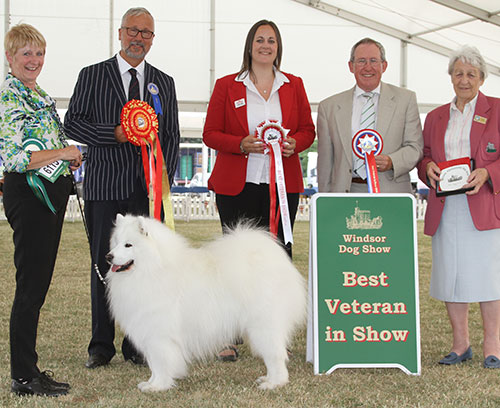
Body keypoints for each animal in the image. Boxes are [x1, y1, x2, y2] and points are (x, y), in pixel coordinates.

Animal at [106, 214, 304, 392]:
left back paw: (274, 383)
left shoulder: (158, 335)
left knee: (275, 356)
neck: (152, 269)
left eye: (128, 244)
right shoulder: (150, 333)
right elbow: (155, 365)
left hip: (263, 326)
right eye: (116, 243)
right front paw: (150, 383)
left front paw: (158, 386)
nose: (109, 256)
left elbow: (160, 363)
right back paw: (267, 379)